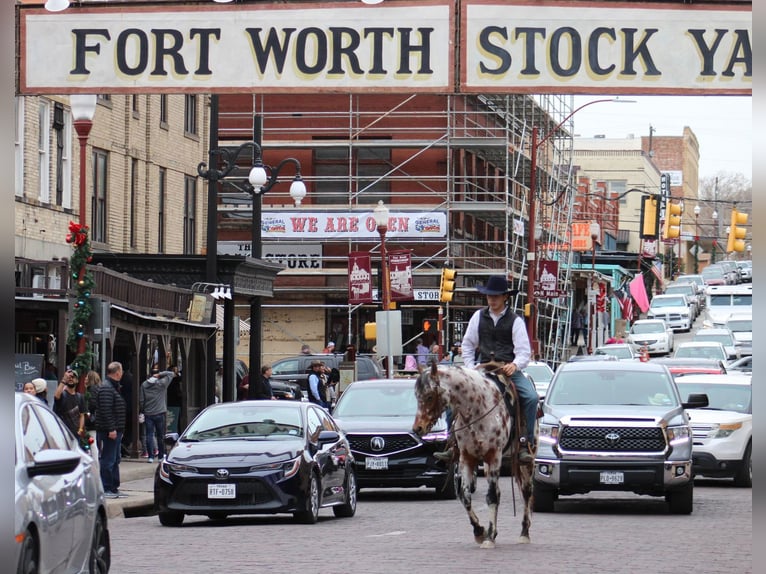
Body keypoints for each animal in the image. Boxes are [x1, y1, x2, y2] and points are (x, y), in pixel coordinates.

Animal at [414, 362, 536, 552]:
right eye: (416, 395)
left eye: (429, 396)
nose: (417, 428)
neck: (478, 409)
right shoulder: (466, 458)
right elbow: (465, 496)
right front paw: (480, 532)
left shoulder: (494, 456)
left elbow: (491, 497)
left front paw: (489, 539)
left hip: (526, 460)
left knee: (526, 491)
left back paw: (524, 533)